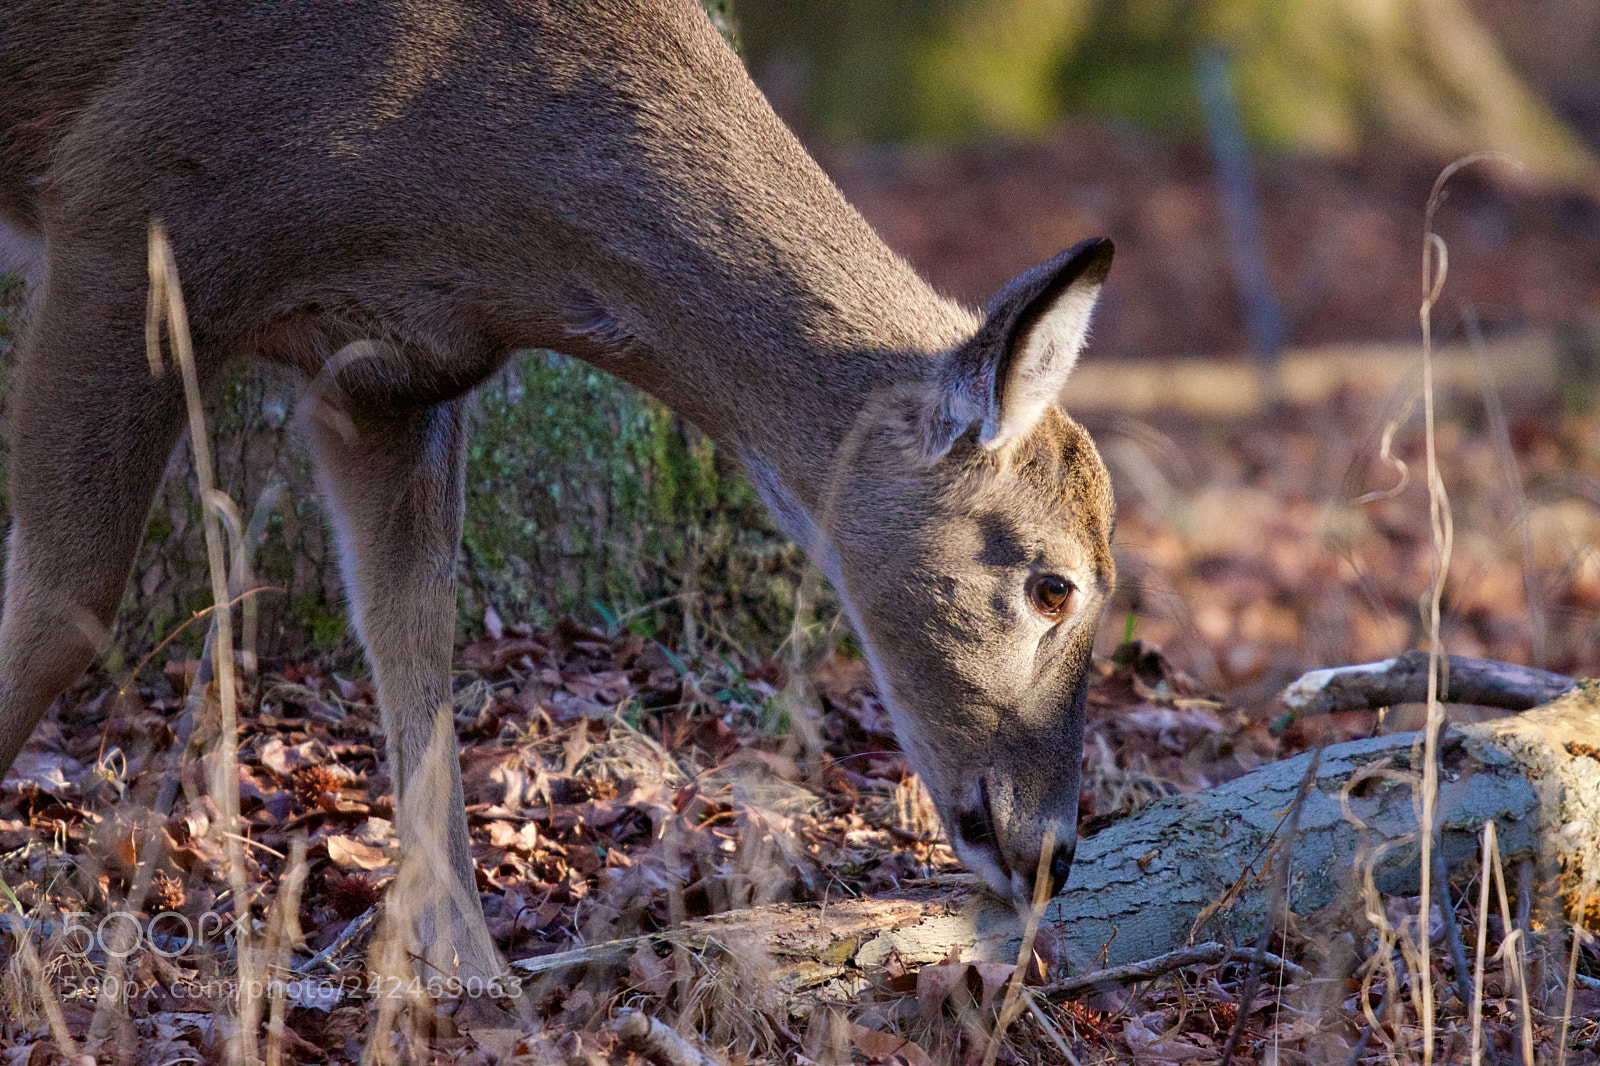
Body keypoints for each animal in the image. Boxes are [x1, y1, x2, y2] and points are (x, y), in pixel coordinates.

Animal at [0, 0, 1116, 990]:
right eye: (1052, 585)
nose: (1054, 851)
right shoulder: (130, 215)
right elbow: (66, 602)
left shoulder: (389, 372)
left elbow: (414, 636)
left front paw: (465, 969)